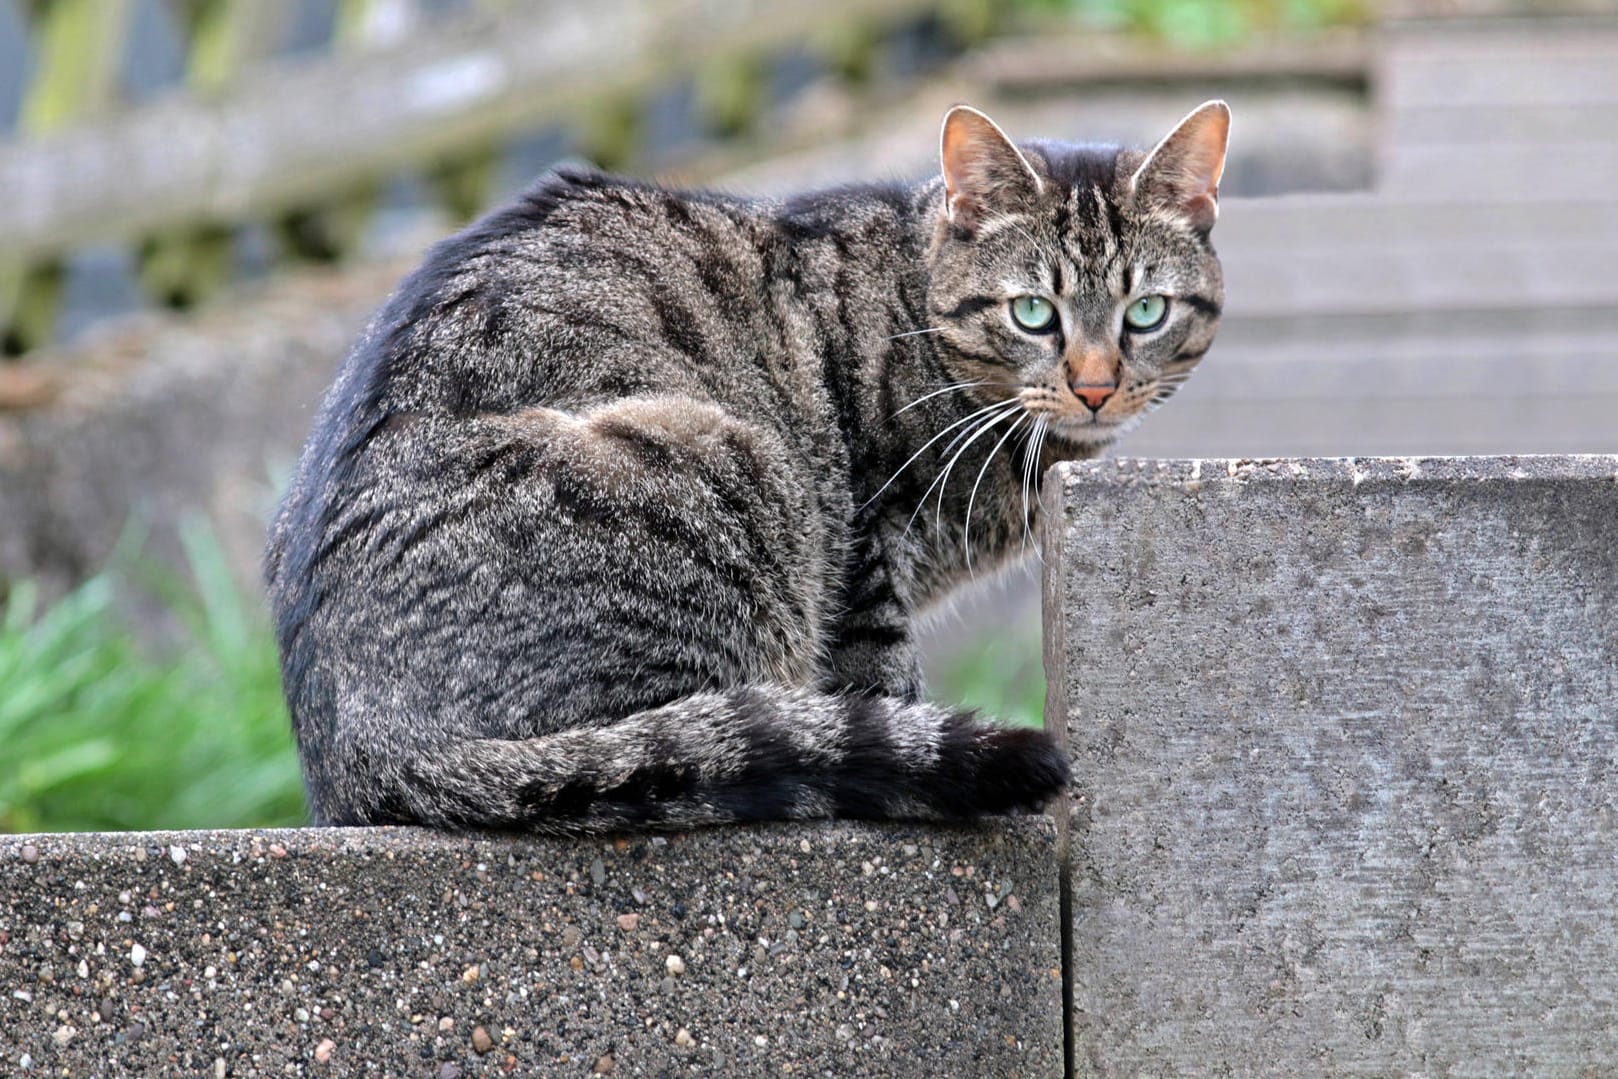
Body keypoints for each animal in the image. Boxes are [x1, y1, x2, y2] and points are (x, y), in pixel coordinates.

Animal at [262, 101, 1223, 834]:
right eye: (1032, 312)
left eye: (1145, 312)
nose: (1095, 386)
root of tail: (363, 749)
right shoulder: (866, 541)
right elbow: (884, 678)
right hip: (733, 472)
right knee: (693, 748)